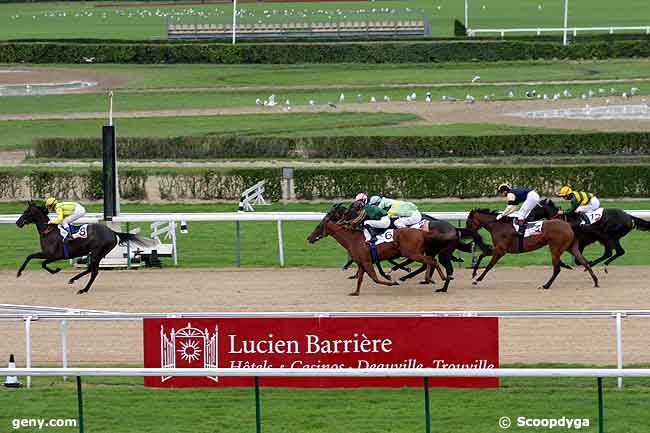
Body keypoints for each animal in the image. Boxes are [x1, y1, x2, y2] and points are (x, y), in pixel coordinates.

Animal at [15, 201, 157, 292]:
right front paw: (19, 272)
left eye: (26, 212)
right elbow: (32, 257)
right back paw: (77, 282)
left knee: (93, 271)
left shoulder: (53, 255)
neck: (49, 231)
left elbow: (40, 262)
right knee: (91, 270)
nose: (18, 222)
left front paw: (55, 270)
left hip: (96, 252)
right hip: (98, 254)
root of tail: (112, 232)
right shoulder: (50, 255)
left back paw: (81, 287)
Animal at [308, 204, 456, 296]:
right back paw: (430, 279)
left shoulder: (367, 262)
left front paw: (391, 281)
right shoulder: (363, 263)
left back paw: (441, 278)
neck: (354, 238)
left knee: (431, 261)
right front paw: (355, 292)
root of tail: (422, 232)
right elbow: (360, 278)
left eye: (318, 226)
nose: (309, 238)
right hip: (416, 253)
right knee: (429, 262)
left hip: (413, 253)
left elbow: (375, 278)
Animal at [460, 208, 596, 288]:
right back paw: (595, 281)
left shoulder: (501, 250)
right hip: (570, 247)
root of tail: (568, 225)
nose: (466, 232)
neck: (497, 226)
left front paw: (477, 279)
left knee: (557, 269)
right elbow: (482, 255)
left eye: (468, 222)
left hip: (555, 249)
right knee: (584, 262)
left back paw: (546, 285)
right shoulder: (499, 249)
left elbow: (489, 265)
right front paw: (474, 273)